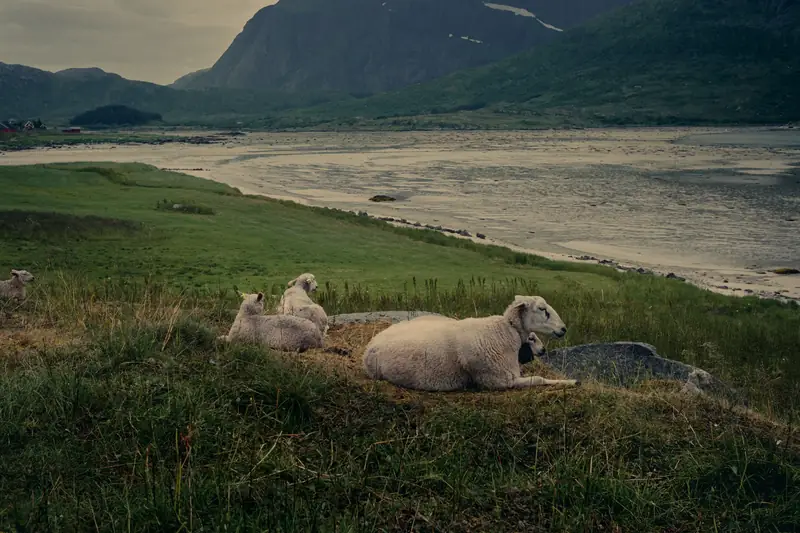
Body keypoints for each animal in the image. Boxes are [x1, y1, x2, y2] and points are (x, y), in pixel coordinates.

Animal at [362, 295, 578, 392]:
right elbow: (538, 379)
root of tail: (368, 349)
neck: (505, 331)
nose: (564, 329)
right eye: (542, 309)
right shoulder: (498, 380)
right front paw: (571, 381)